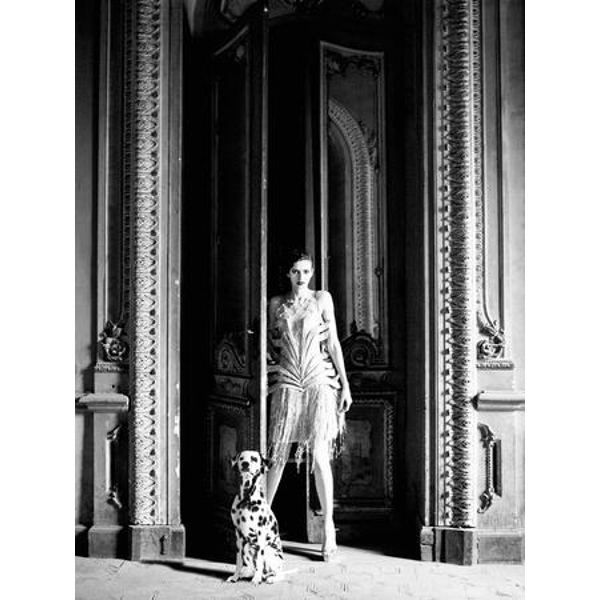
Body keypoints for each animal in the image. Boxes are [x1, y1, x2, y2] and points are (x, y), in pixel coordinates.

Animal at [227, 450, 284, 585]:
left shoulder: (261, 533)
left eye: (254, 459)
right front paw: (235, 576)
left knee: (279, 573)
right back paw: (247, 574)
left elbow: (259, 560)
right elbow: (238, 561)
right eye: (242, 458)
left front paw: (256, 579)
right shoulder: (238, 536)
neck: (246, 499)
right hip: (247, 547)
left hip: (269, 551)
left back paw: (269, 578)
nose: (245, 464)